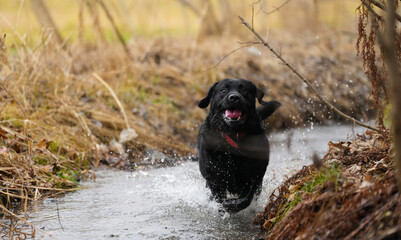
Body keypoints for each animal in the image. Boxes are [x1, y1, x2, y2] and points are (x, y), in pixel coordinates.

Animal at [196, 78, 278, 212]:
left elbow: (247, 197)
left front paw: (233, 205)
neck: (233, 135)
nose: (234, 97)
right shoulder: (214, 178)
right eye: (223, 90)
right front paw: (224, 207)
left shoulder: (256, 173)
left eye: (244, 90)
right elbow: (219, 199)